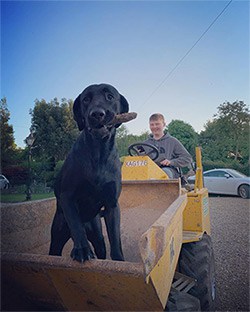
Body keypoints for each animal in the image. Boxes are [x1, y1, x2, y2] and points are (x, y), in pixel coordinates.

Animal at [48, 82, 128, 260]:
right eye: (86, 99)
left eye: (110, 96)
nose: (97, 113)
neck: (98, 153)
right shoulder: (68, 197)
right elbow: (76, 226)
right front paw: (82, 250)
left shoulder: (112, 204)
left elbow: (115, 238)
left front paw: (119, 260)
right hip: (57, 236)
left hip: (98, 237)